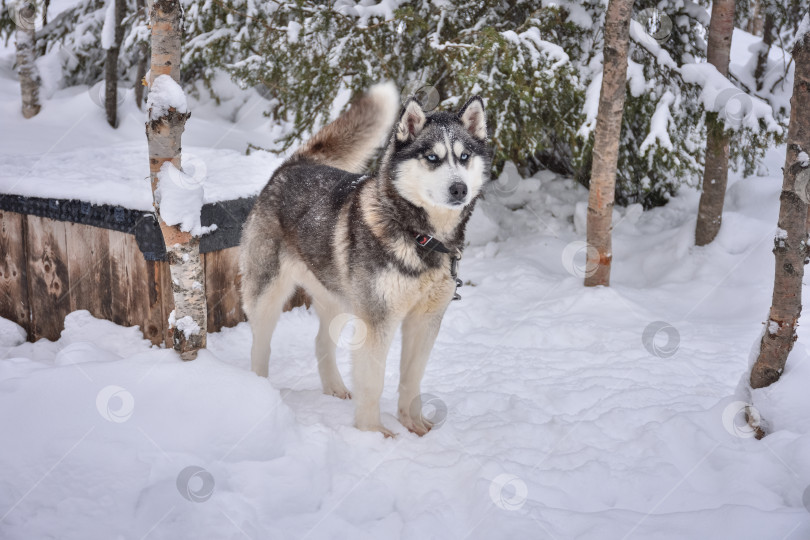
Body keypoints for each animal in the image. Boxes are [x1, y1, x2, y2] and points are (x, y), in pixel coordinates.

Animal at [240, 82, 490, 436]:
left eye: (464, 157)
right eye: (432, 158)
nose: (459, 189)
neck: (420, 237)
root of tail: (292, 165)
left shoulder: (425, 320)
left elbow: (411, 378)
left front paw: (414, 424)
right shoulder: (378, 319)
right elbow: (373, 382)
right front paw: (372, 433)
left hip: (340, 298)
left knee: (321, 342)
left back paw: (334, 387)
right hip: (267, 296)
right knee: (260, 345)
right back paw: (258, 392)